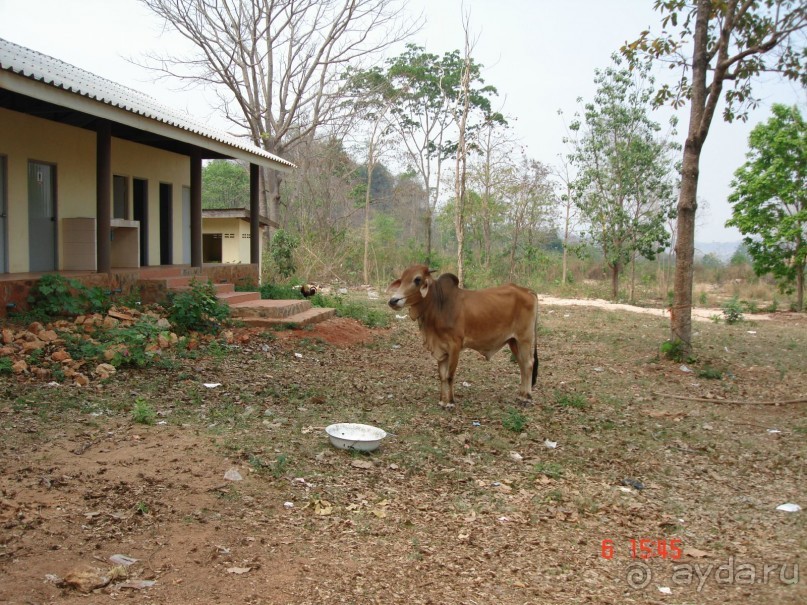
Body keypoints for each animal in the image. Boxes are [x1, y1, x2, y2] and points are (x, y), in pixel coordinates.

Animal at [388, 266, 540, 404]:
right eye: (401, 279)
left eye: (417, 279)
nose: (393, 301)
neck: (439, 304)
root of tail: (527, 290)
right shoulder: (441, 348)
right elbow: (442, 376)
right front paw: (442, 401)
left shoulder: (454, 346)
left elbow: (449, 376)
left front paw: (450, 402)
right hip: (513, 340)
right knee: (522, 365)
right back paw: (521, 395)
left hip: (525, 339)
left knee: (528, 364)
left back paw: (526, 398)